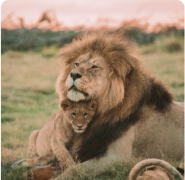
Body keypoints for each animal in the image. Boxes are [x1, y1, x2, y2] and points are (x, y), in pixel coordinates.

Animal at [52, 33, 184, 179]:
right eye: (76, 64)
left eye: (94, 67)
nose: (73, 74)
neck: (100, 112)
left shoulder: (117, 158)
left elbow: (74, 169)